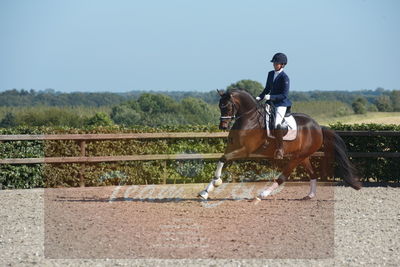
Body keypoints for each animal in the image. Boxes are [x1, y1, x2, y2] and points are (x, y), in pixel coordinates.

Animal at [198, 89, 362, 202]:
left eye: (226, 106)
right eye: (220, 106)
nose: (223, 126)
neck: (249, 118)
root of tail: (318, 127)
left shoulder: (245, 150)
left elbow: (224, 159)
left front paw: (216, 182)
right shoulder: (232, 147)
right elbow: (221, 159)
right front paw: (206, 190)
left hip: (297, 157)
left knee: (283, 177)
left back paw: (262, 194)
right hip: (303, 156)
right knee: (312, 174)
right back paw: (310, 195)